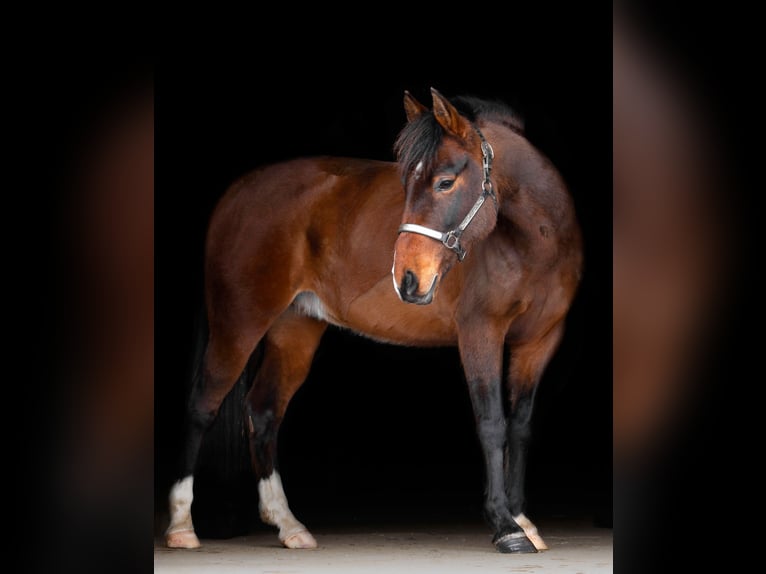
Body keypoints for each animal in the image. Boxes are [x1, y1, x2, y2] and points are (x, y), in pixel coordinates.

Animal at [164, 88, 583, 554]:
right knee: (203, 405)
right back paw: (182, 526)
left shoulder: (540, 341)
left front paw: (523, 520)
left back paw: (290, 525)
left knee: (264, 411)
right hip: (238, 323)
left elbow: (521, 425)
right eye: (406, 183)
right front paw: (505, 527)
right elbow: (492, 423)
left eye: (445, 182)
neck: (534, 242)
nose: (407, 278)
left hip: (294, 330)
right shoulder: (481, 333)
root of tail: (237, 191)